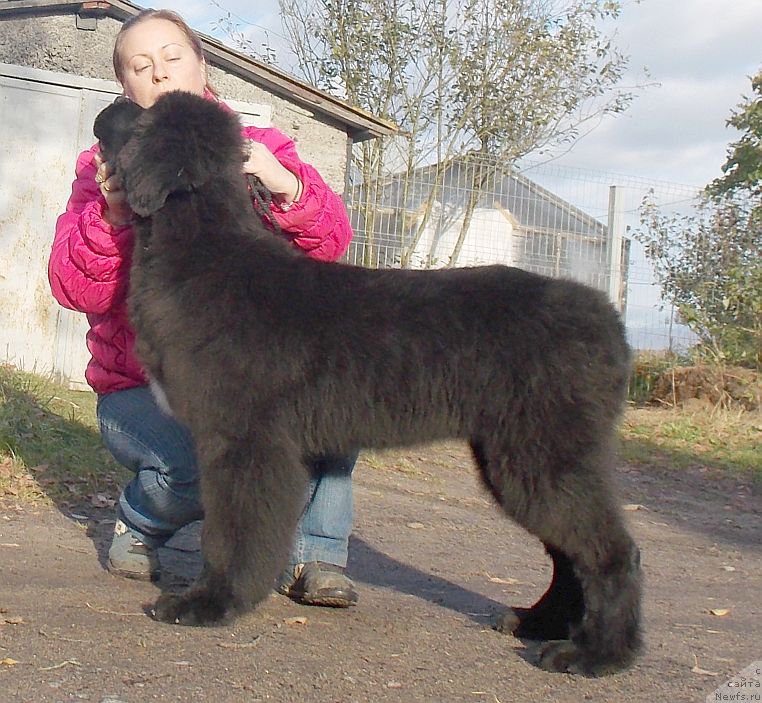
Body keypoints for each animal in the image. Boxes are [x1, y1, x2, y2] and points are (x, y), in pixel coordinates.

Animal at [95, 92, 640, 676]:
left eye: (142, 114)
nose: (108, 107)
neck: (202, 249)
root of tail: (607, 320)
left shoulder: (244, 443)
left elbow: (232, 531)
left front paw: (211, 603)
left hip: (543, 457)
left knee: (609, 550)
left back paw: (597, 653)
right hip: (520, 461)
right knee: (569, 553)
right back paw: (540, 623)